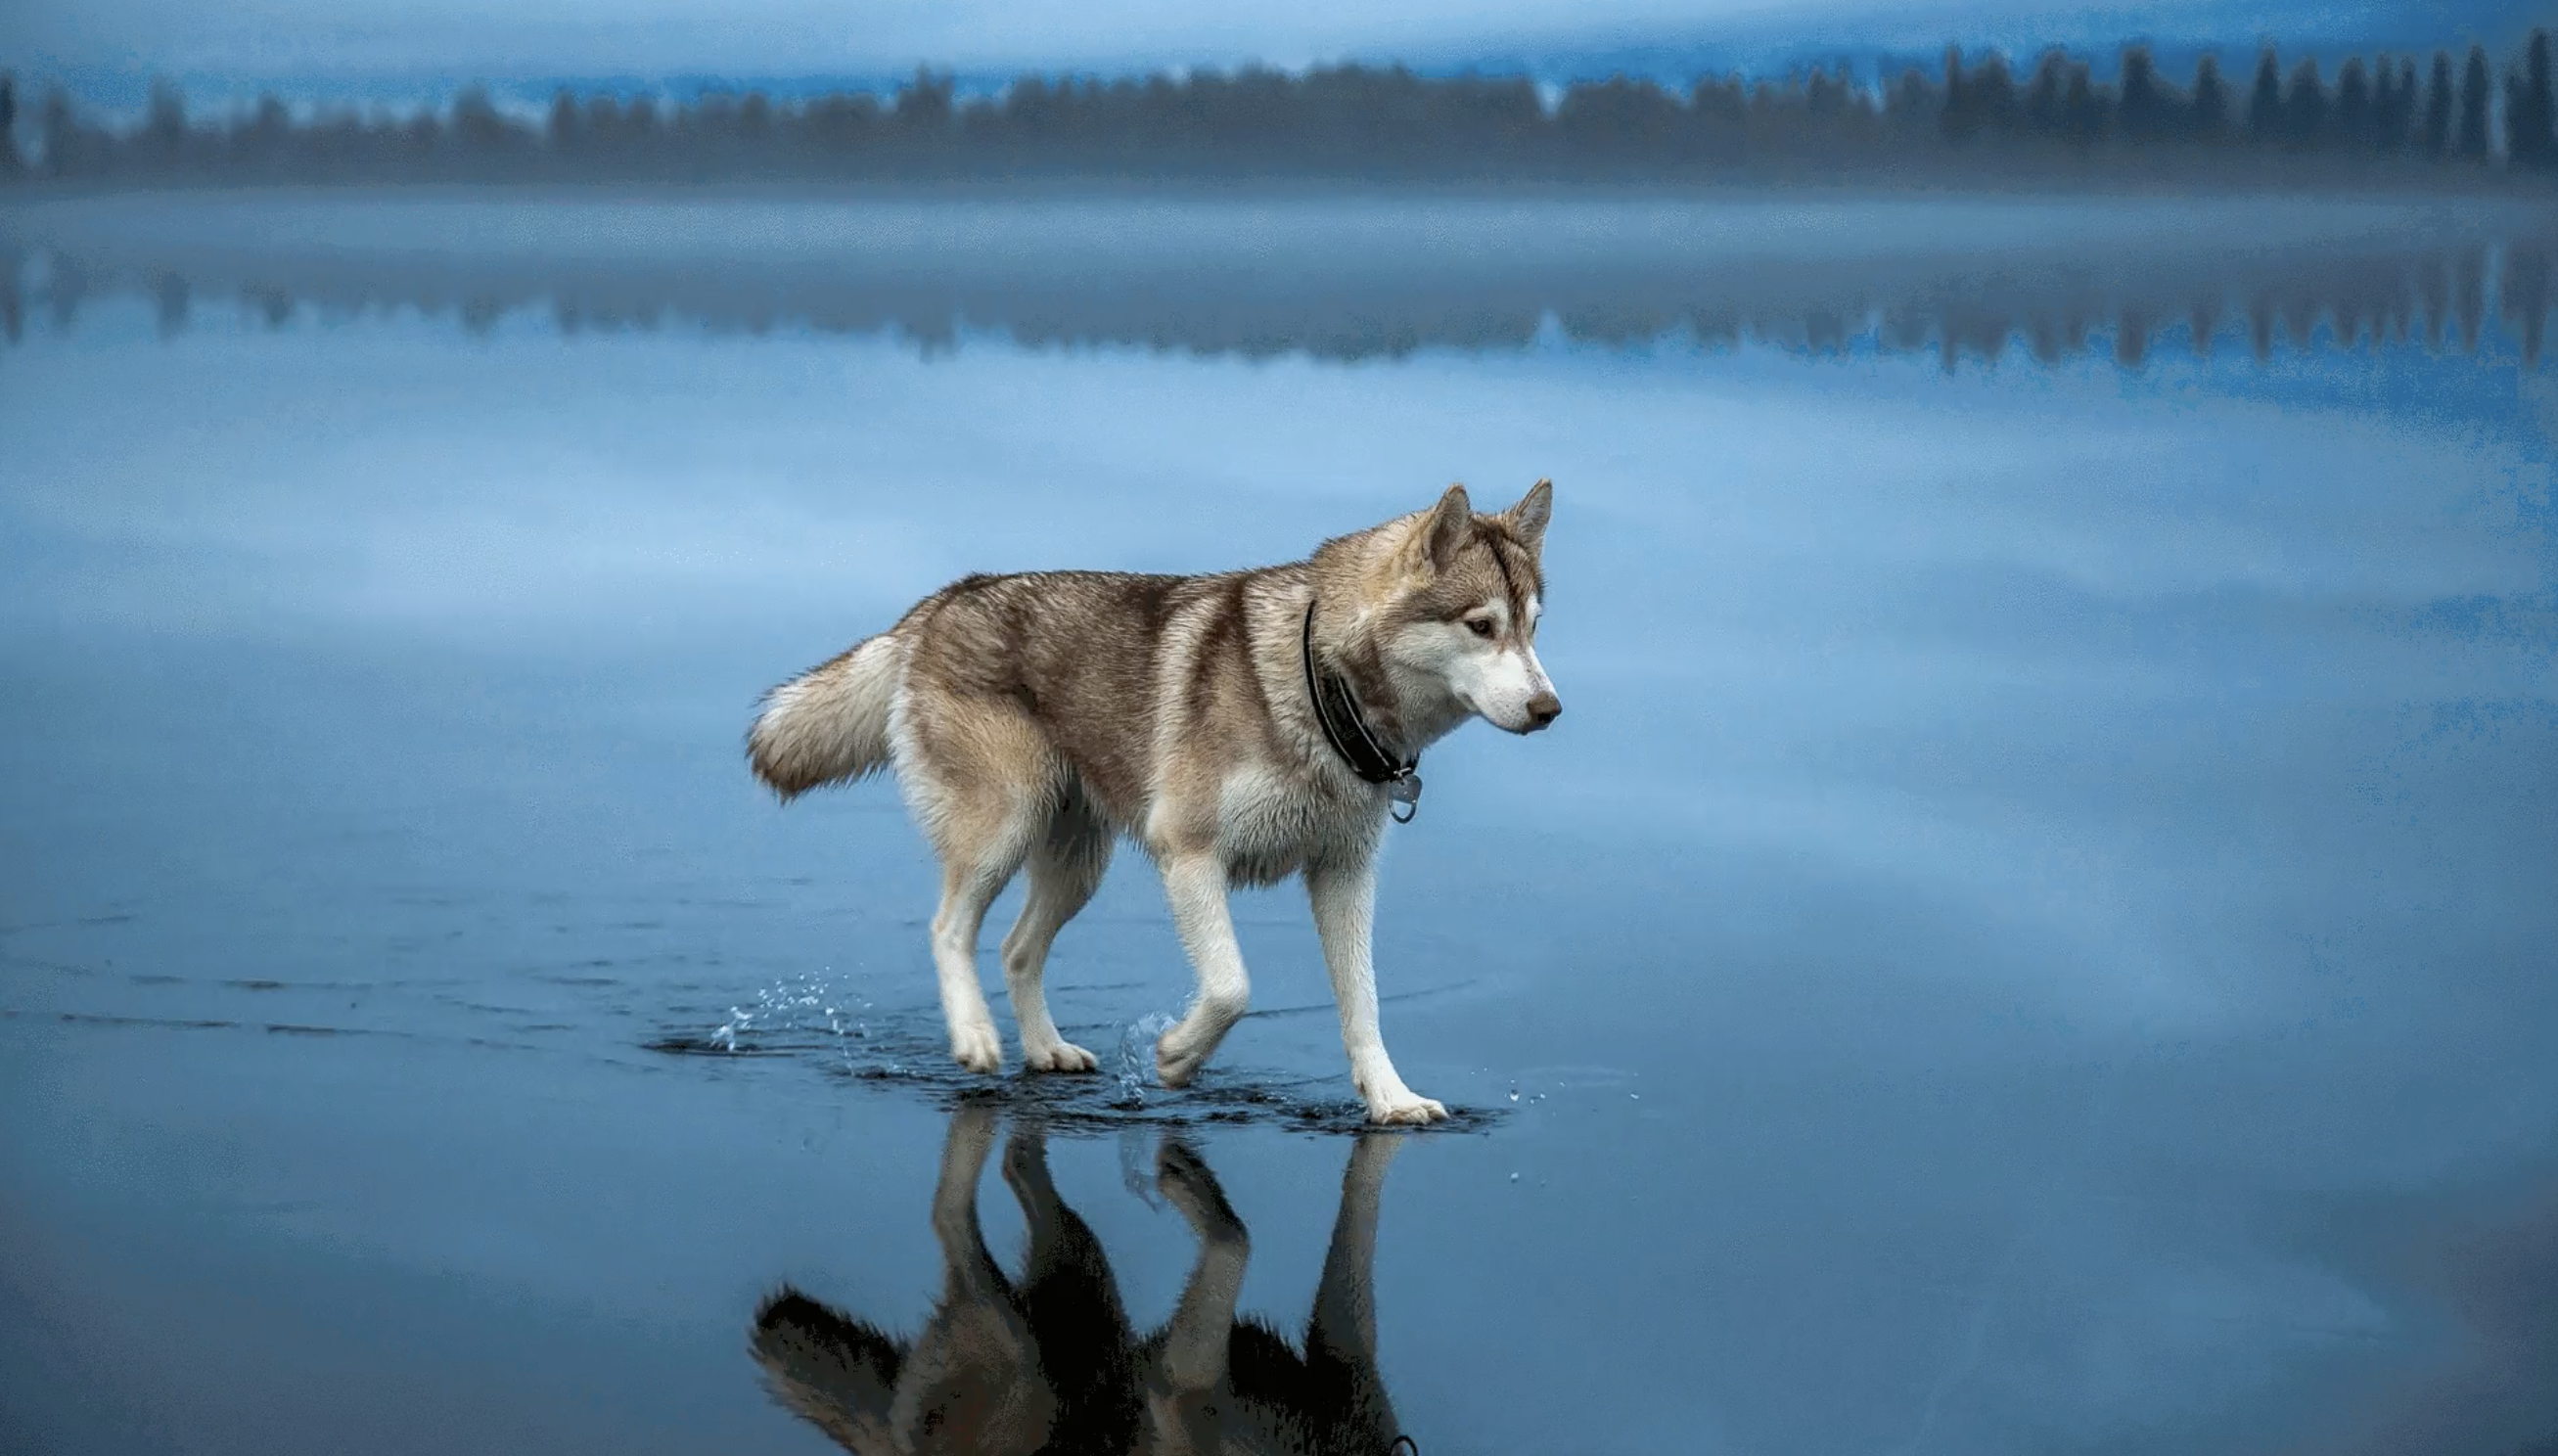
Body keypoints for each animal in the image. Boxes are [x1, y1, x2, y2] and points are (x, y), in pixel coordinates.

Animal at [746, 479, 1559, 1125]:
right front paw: (1174, 1056)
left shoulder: (1344, 875)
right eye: (1481, 626)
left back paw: (1045, 1050)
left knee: (1015, 950)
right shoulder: (1189, 854)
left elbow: (1363, 1005)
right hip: (1003, 828)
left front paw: (1391, 1100)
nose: (1550, 708)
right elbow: (1231, 987)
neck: (1320, 686)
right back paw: (975, 1037)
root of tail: (943, 600)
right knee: (950, 928)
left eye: (1533, 628)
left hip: (1078, 865)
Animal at [750, 1103, 1410, 1455]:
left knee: (1016, 1167)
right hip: (1018, 1347)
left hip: (1083, 1282)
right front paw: (1187, 1184)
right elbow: (1236, 1238)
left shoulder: (1345, 1355)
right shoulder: (1180, 1398)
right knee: (948, 1212)